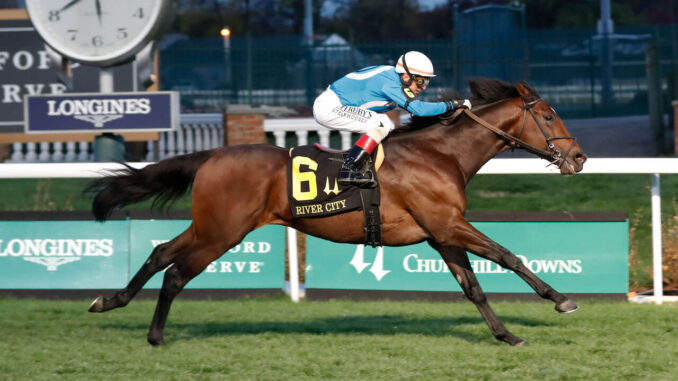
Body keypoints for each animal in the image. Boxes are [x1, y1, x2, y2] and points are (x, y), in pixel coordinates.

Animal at [87, 78, 588, 346]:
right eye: (548, 116)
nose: (579, 158)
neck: (440, 154)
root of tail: (210, 156)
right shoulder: (449, 224)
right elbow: (508, 255)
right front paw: (561, 300)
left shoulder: (441, 233)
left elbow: (474, 288)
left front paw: (506, 334)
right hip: (221, 232)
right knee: (175, 273)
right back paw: (155, 335)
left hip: (211, 227)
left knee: (159, 253)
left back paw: (110, 300)